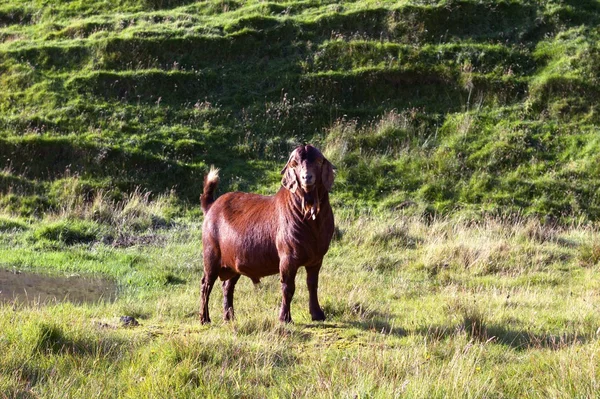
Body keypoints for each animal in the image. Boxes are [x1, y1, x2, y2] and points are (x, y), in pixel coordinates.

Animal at [200, 145, 332, 324]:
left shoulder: (316, 259)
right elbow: (288, 287)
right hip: (211, 255)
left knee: (227, 286)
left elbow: (312, 284)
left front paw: (317, 314)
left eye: (318, 161)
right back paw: (205, 318)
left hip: (232, 262)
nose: (307, 177)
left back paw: (230, 317)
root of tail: (211, 206)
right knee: (206, 284)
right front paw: (285, 318)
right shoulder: (288, 258)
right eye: (295, 164)